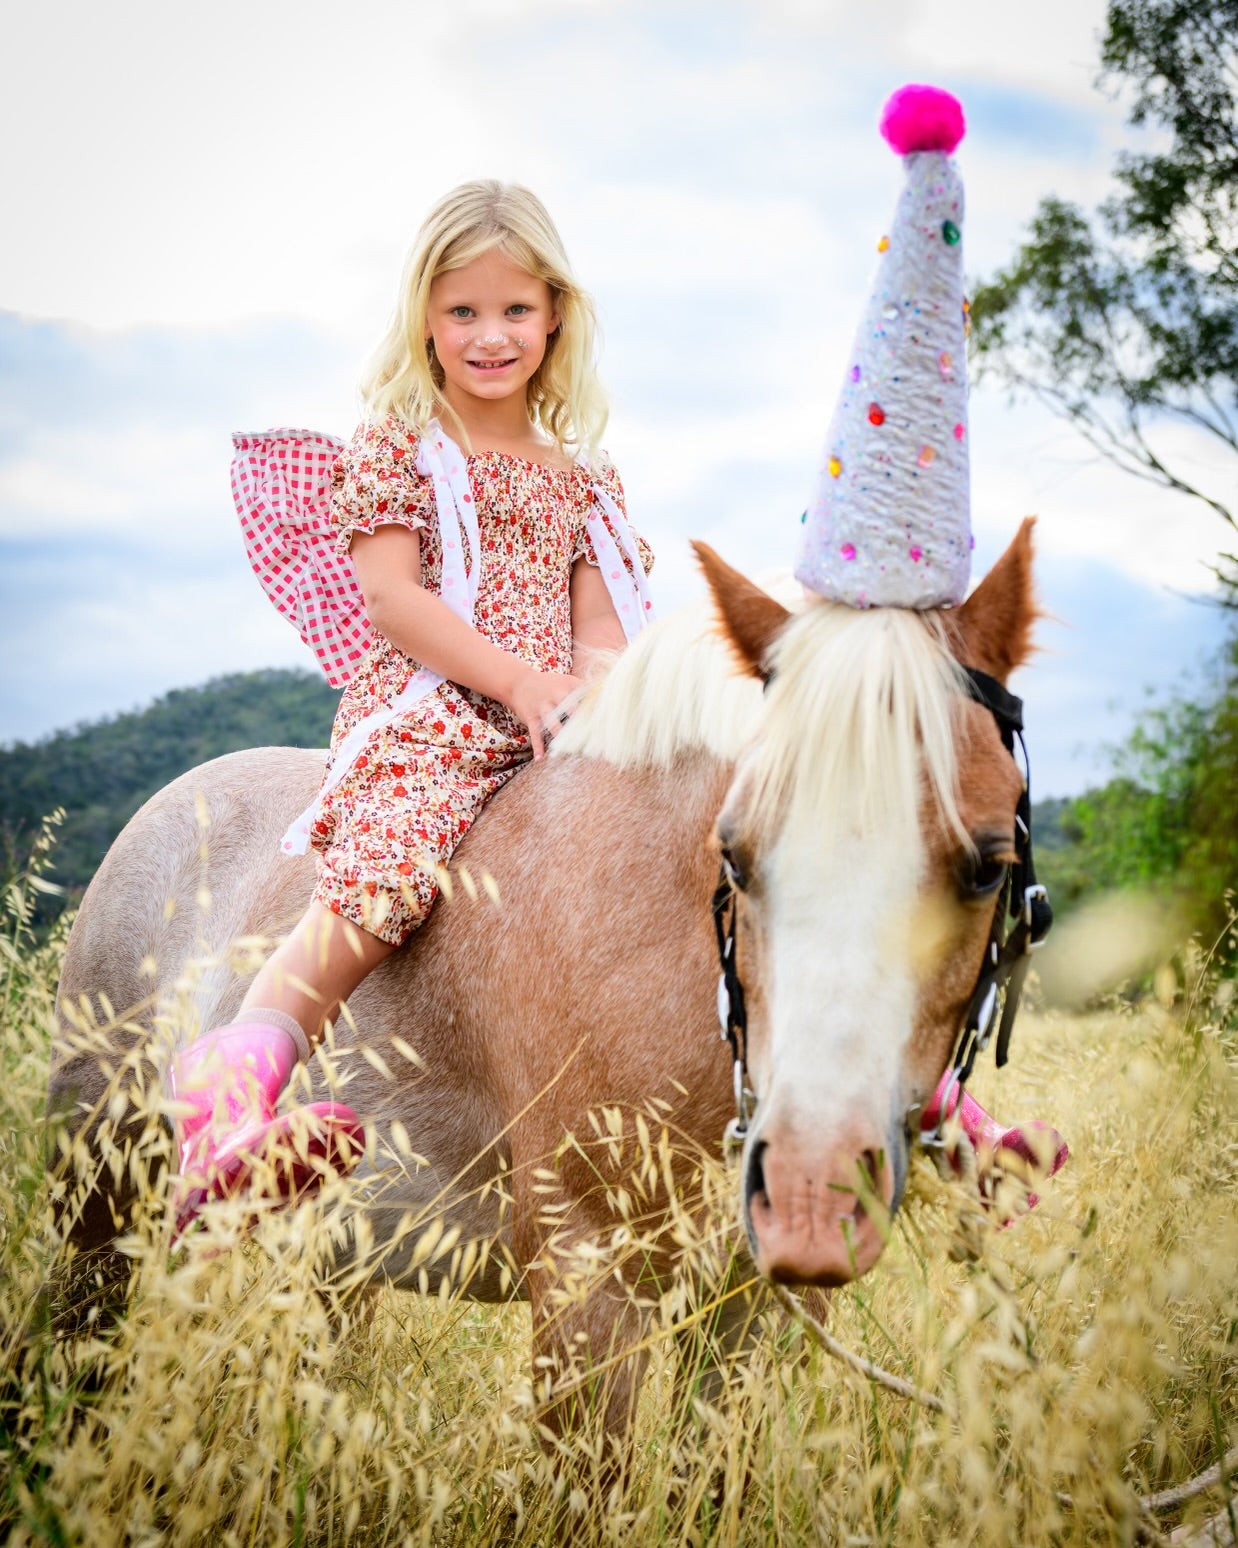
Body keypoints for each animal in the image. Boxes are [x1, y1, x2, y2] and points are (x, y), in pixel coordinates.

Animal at [46, 526, 1033, 1455]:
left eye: (989, 865)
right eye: (738, 856)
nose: (812, 1187)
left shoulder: (753, 1305)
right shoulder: (585, 1277)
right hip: (100, 1188)